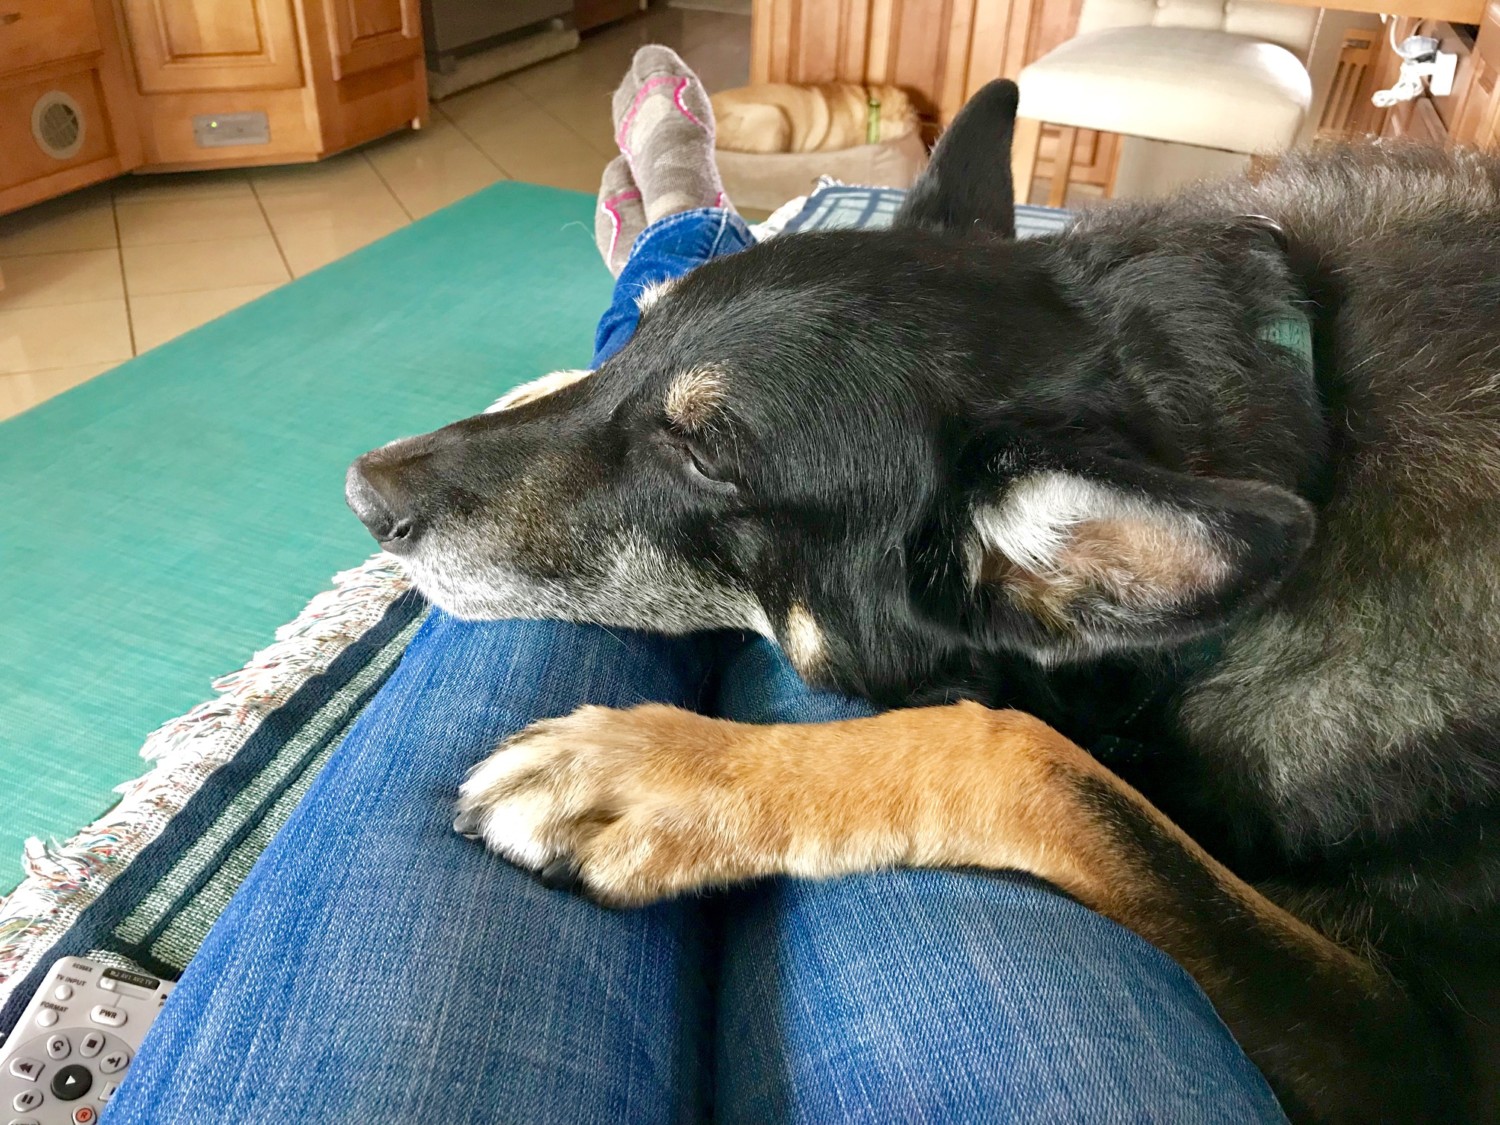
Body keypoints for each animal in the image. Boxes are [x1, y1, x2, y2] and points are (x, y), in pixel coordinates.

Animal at [351, 81, 1500, 1125]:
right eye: (634, 338)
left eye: (707, 455)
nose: (365, 495)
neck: (1307, 411)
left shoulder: (1413, 1053)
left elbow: (1032, 759)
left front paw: (656, 773)